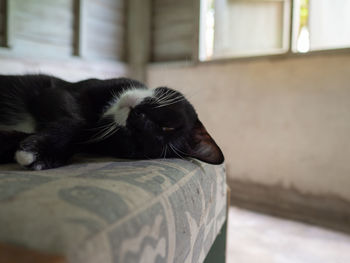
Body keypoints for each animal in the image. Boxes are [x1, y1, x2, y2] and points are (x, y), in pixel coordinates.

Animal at [0, 74, 224, 171]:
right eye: (168, 125)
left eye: (135, 141)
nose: (137, 116)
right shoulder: (57, 91)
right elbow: (78, 121)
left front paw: (44, 154)